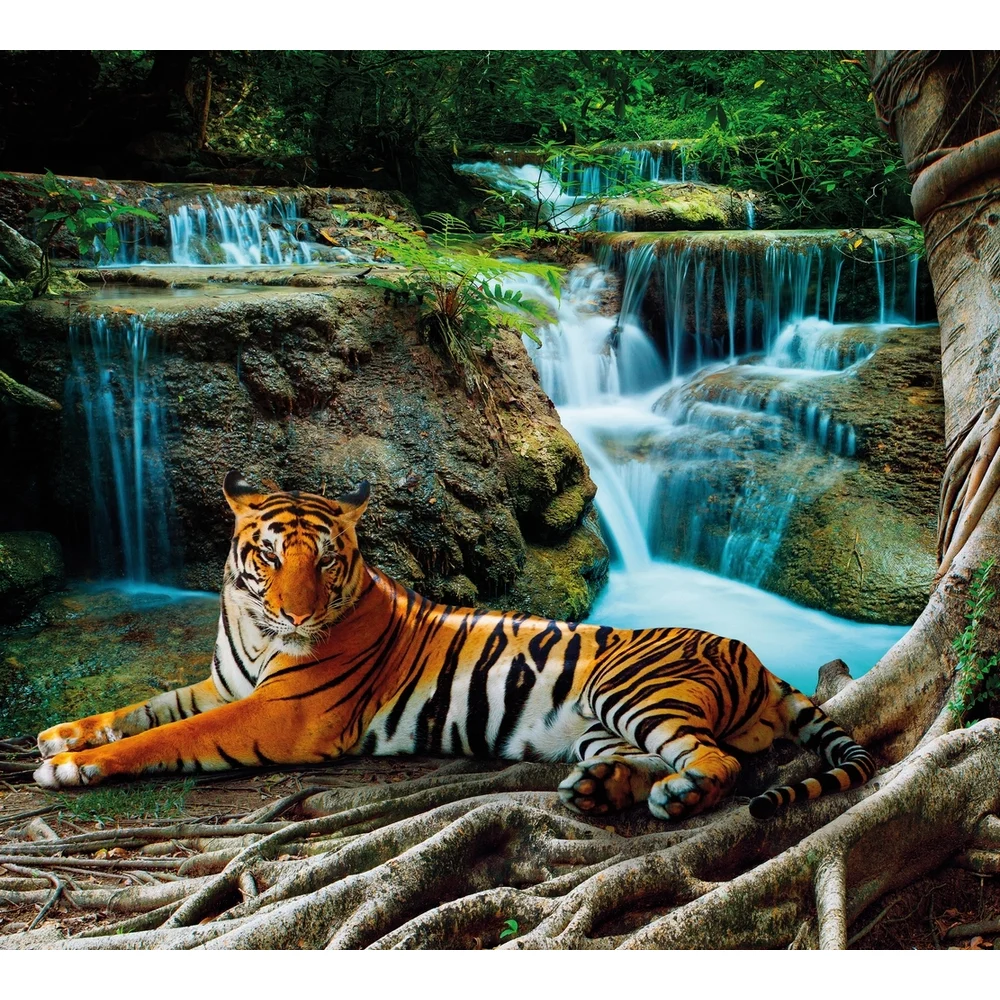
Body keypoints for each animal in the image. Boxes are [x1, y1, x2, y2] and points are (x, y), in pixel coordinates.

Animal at [34, 472, 875, 821]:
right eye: (268, 556)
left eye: (326, 561)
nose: (297, 612)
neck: (251, 627)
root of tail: (757, 659)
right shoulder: (226, 685)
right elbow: (145, 708)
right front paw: (62, 735)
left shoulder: (278, 714)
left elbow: (170, 736)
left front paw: (74, 767)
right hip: (600, 726)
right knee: (656, 759)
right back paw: (602, 792)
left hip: (631, 691)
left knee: (718, 762)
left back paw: (676, 798)